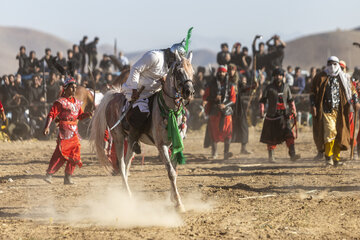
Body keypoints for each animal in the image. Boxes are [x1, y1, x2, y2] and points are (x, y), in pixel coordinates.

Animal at [90, 51, 195, 212]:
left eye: (192, 72)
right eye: (179, 71)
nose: (189, 92)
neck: (169, 109)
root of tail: (114, 96)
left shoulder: (175, 145)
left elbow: (174, 169)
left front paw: (173, 198)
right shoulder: (162, 146)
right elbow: (171, 172)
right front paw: (178, 203)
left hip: (132, 140)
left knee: (127, 164)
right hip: (119, 138)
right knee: (122, 165)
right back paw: (127, 196)